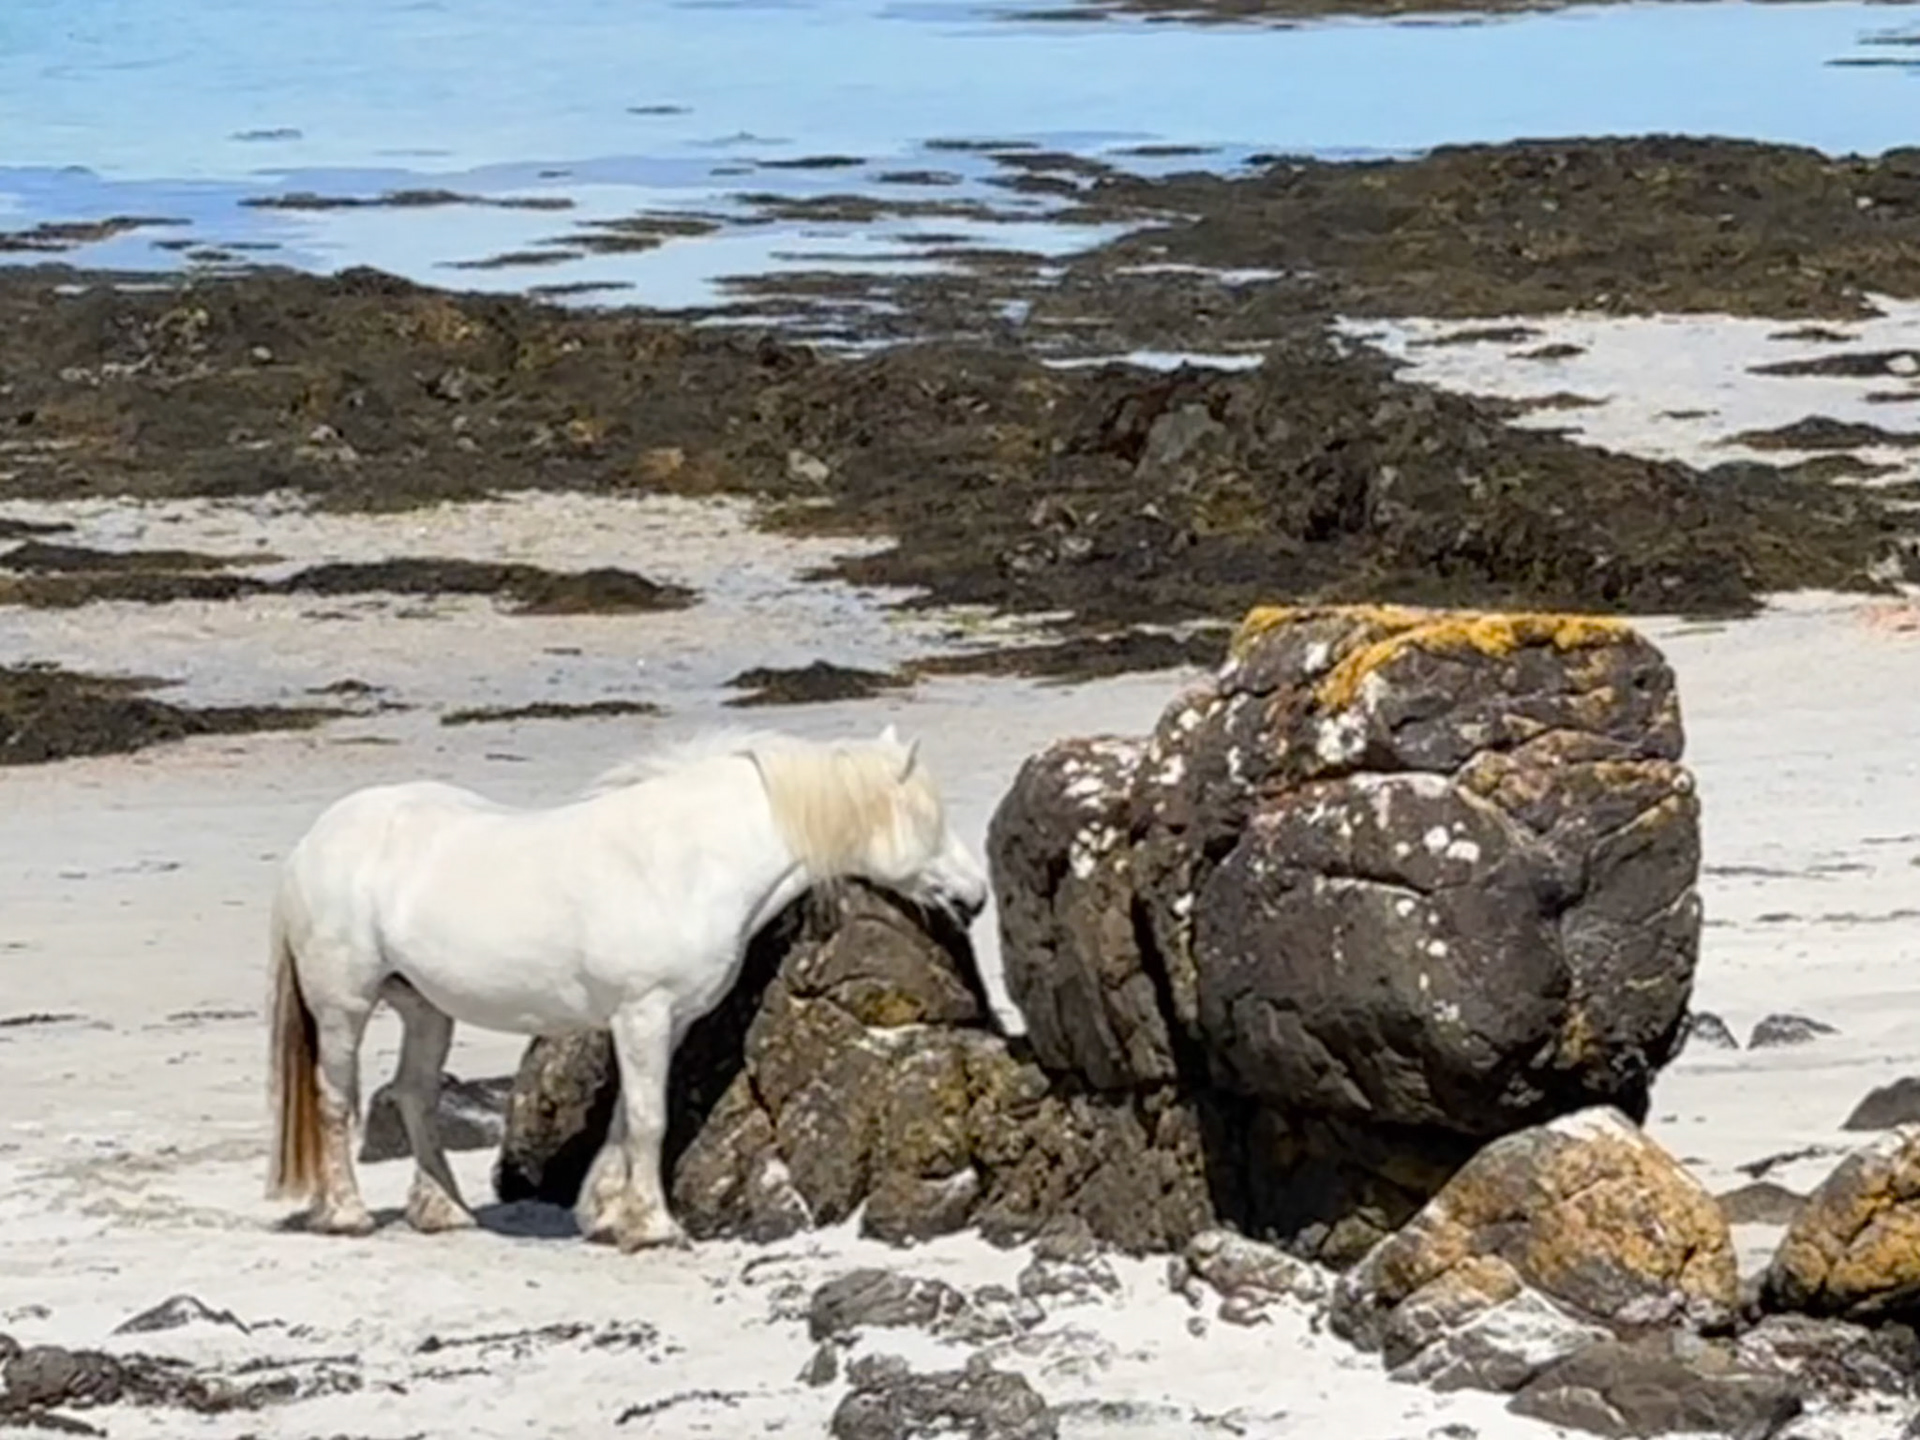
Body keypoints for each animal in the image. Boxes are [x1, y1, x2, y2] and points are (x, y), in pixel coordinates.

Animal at [264, 724, 989, 1250]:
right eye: (928, 819)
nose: (976, 895)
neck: (686, 861)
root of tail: (312, 844)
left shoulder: (662, 1020)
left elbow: (626, 1118)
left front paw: (609, 1215)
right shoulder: (643, 1012)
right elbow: (649, 1119)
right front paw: (656, 1228)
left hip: (426, 1009)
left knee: (413, 1094)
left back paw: (444, 1211)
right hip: (344, 1005)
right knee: (336, 1099)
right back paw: (348, 1214)